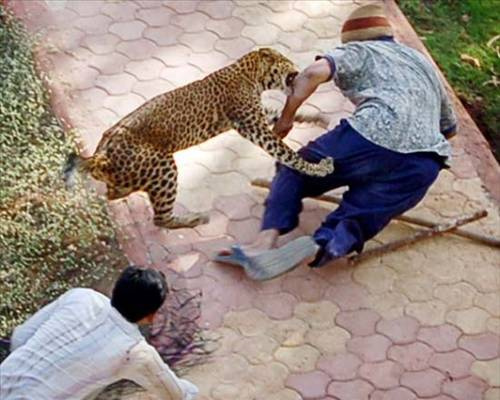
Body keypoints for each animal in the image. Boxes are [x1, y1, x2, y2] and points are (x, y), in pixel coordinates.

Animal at [64, 47, 334, 228]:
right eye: (287, 62)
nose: (299, 69)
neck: (251, 75)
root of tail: (99, 156)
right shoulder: (253, 125)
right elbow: (287, 152)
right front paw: (318, 169)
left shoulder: (256, 117)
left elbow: (277, 112)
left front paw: (316, 117)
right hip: (163, 167)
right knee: (160, 219)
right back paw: (195, 218)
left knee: (113, 193)